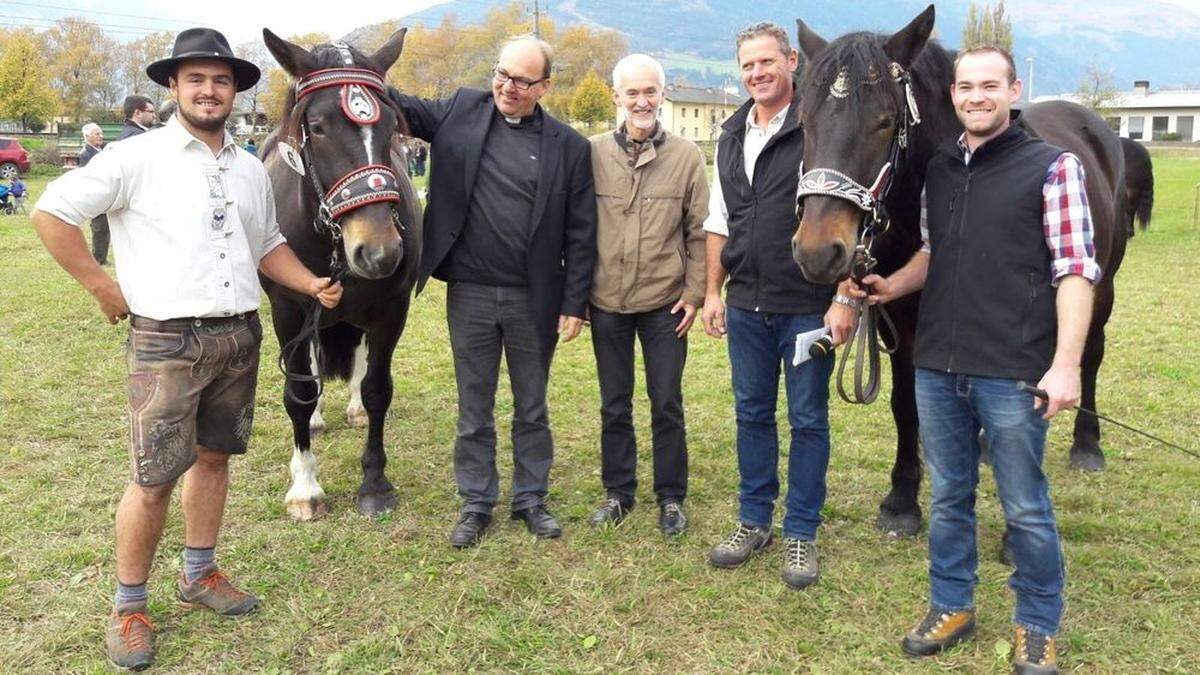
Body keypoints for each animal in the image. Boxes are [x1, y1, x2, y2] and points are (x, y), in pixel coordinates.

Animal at [258, 28, 422, 516]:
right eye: (317, 127)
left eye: (391, 129)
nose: (381, 250)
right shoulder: (289, 310)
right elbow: (298, 393)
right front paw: (305, 486)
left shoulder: (391, 309)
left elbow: (377, 388)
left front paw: (374, 482)